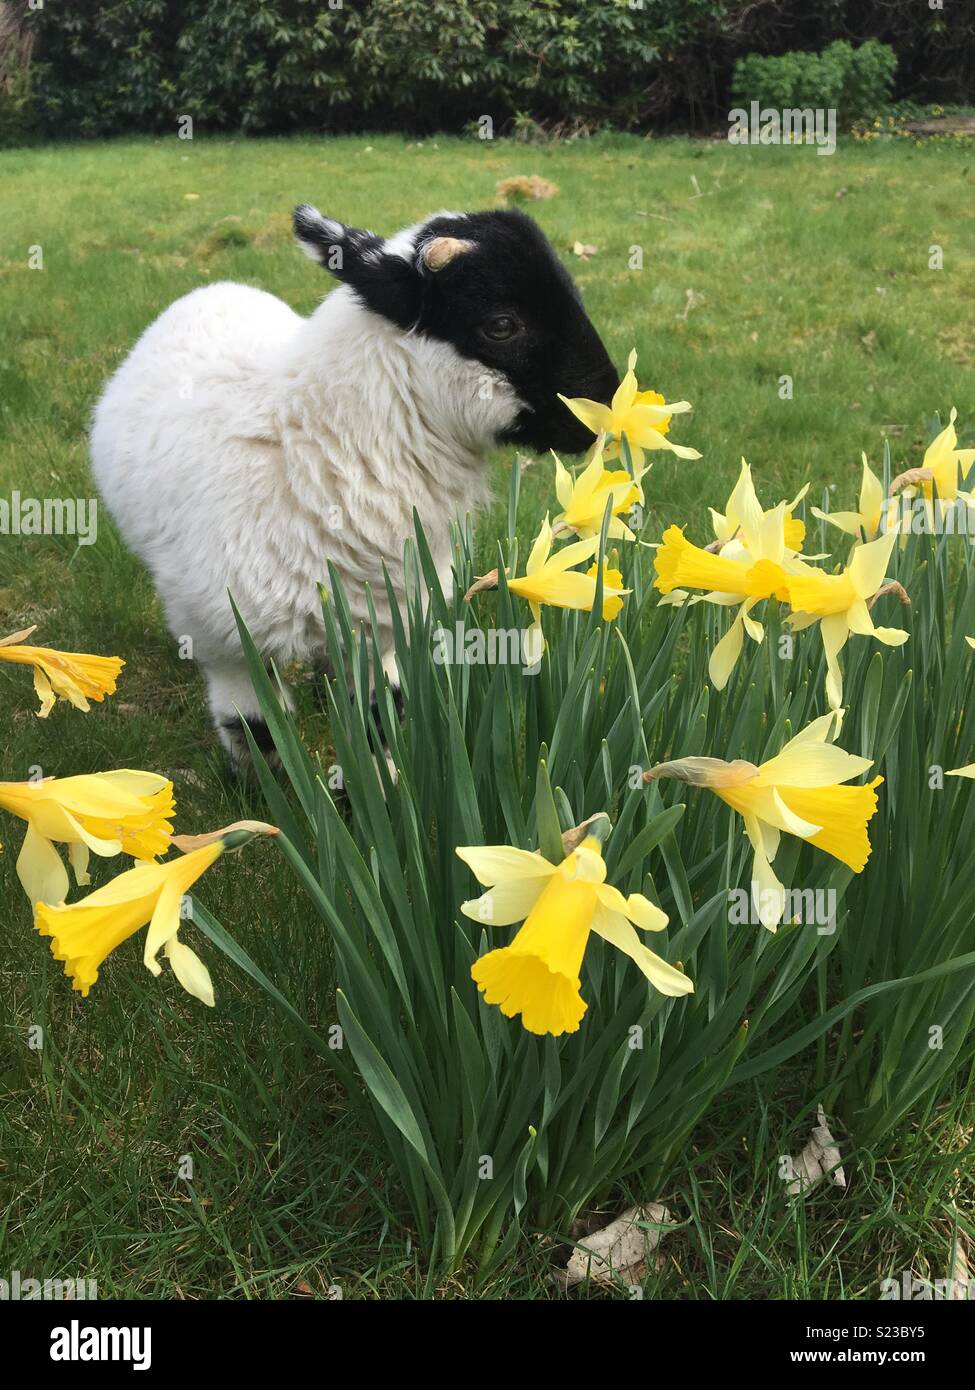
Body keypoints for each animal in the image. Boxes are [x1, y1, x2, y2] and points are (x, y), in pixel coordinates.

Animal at [90, 205, 619, 763]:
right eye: (500, 324)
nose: (606, 407)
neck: (320, 444)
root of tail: (216, 288)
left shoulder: (388, 624)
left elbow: (379, 723)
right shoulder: (227, 642)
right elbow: (258, 733)